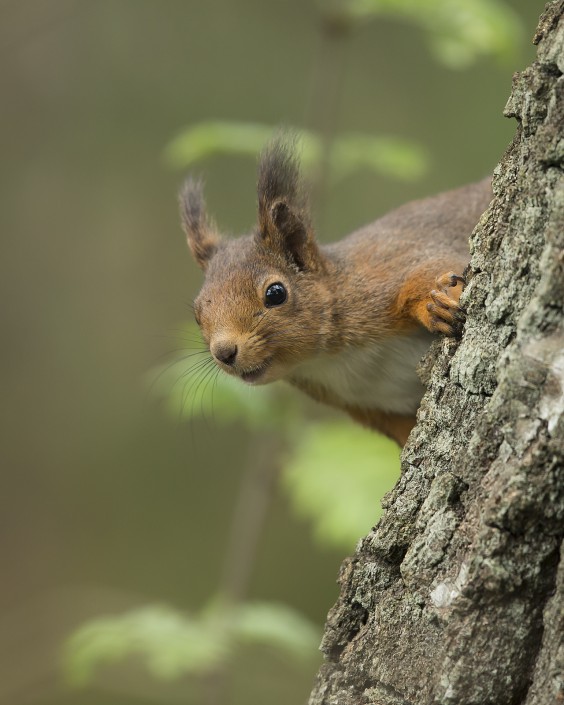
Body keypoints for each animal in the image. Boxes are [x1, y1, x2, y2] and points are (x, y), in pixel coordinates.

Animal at [178, 140, 492, 442]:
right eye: (197, 315)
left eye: (276, 293)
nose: (224, 352)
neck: (327, 360)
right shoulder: (370, 410)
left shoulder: (387, 265)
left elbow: (432, 268)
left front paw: (433, 304)